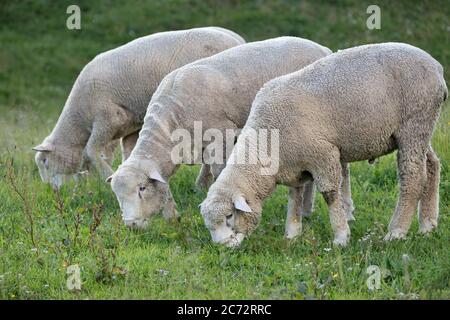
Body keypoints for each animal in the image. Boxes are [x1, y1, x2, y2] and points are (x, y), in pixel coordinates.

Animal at [31, 26, 244, 190]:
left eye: (44, 162)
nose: (52, 191)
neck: (78, 120)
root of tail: (237, 40)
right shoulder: (130, 128)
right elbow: (126, 152)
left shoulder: (108, 117)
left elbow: (91, 150)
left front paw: (107, 176)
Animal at [108, 36, 342, 229]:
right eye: (117, 195)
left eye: (141, 189)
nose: (131, 225)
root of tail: (322, 48)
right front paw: (173, 217)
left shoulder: (221, 135)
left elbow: (219, 171)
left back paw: (307, 210)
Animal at [200, 42, 446, 248]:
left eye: (229, 216)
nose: (222, 246)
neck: (267, 142)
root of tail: (437, 67)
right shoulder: (294, 163)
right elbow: (295, 196)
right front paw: (292, 234)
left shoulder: (323, 154)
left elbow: (330, 194)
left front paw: (341, 237)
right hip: (420, 130)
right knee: (432, 165)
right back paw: (428, 225)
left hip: (413, 124)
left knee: (413, 178)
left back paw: (396, 232)